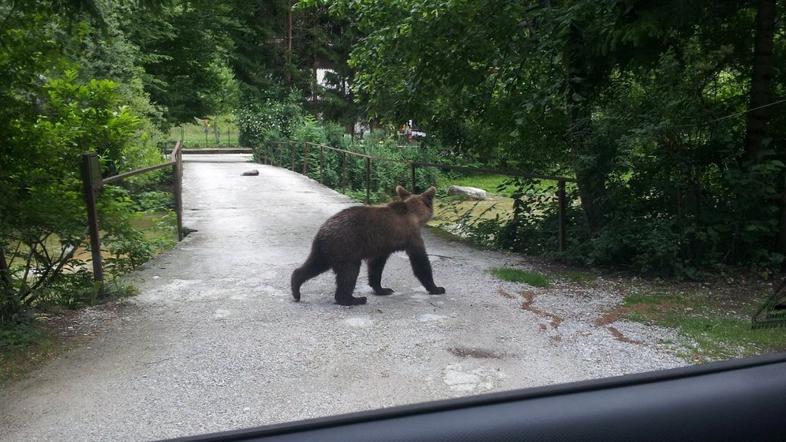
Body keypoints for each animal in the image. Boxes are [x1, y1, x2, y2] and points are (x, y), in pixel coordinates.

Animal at [290, 185, 444, 306]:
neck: (414, 216)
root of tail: (322, 230)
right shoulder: (411, 237)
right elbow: (420, 262)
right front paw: (437, 288)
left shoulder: (383, 245)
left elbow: (376, 265)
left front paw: (383, 289)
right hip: (346, 247)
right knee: (349, 272)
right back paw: (354, 299)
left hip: (325, 250)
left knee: (313, 265)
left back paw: (296, 288)